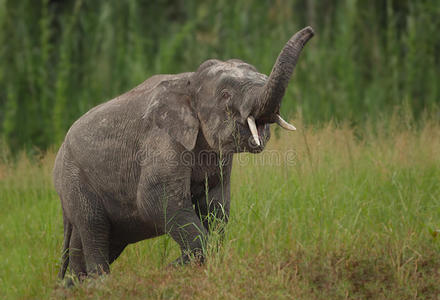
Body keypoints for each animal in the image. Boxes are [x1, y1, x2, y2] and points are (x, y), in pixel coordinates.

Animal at [55, 26, 314, 284]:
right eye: (226, 94)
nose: (310, 30)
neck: (189, 81)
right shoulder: (162, 139)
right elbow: (155, 198)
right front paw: (174, 268)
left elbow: (216, 203)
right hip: (74, 178)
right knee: (93, 225)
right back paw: (99, 283)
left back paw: (75, 284)